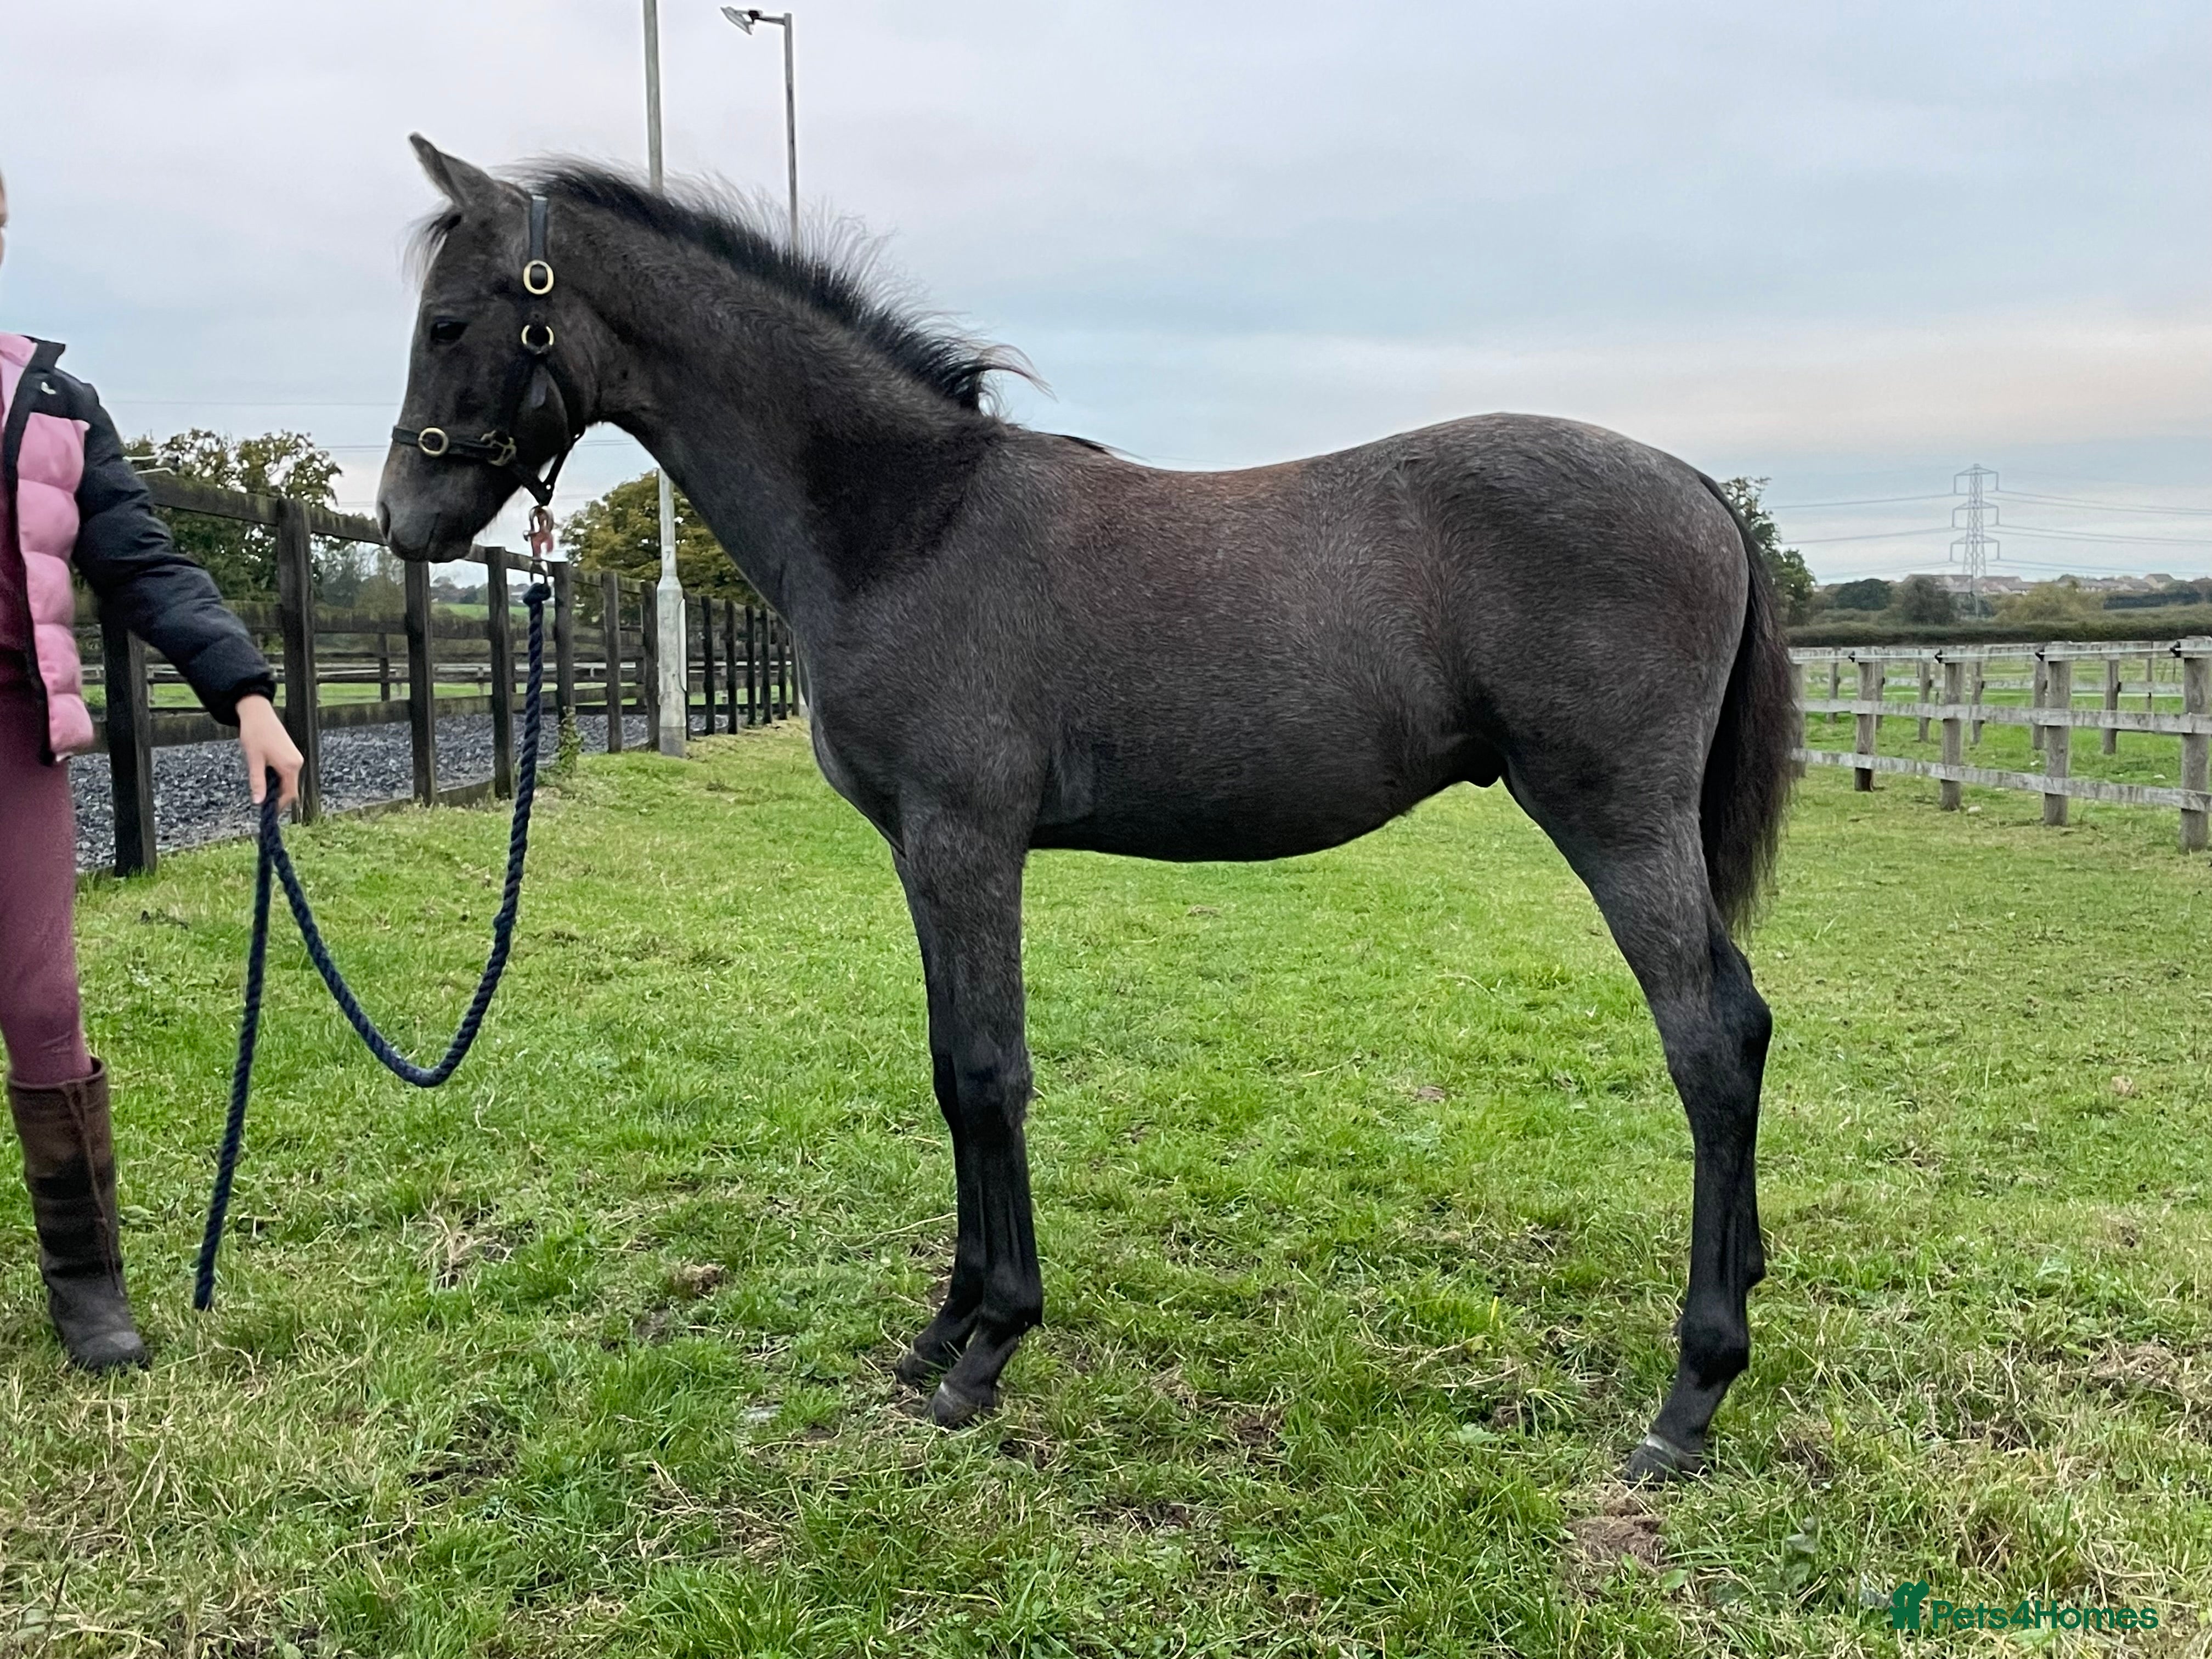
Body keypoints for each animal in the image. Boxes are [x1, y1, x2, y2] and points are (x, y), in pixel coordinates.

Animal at [375, 137, 1796, 1482]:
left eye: (448, 321)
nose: (403, 520)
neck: (909, 520)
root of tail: (1698, 488)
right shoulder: (922, 855)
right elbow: (949, 1069)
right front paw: (942, 1327)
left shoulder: (967, 843)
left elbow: (990, 1074)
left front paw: (988, 1348)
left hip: (1617, 824)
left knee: (1711, 1042)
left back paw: (1691, 1393)